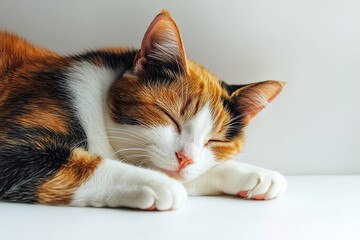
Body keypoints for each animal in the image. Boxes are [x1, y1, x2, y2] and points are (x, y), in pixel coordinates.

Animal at [0, 10, 286, 210]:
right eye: (169, 116)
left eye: (215, 141)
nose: (185, 158)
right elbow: (82, 164)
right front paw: (157, 183)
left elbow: (191, 175)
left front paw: (252, 173)